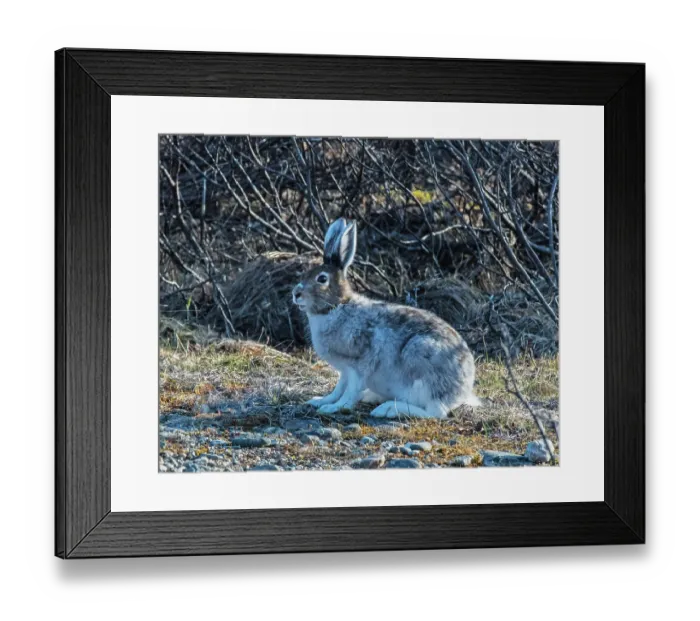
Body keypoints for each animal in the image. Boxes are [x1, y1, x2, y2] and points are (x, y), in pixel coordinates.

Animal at [292, 218, 481, 419]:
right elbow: (338, 388)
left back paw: (387, 409)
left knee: (434, 412)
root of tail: (463, 389)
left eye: (321, 279)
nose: (296, 294)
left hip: (421, 361)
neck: (335, 308)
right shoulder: (344, 371)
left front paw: (335, 407)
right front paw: (320, 401)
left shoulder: (358, 365)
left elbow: (350, 391)